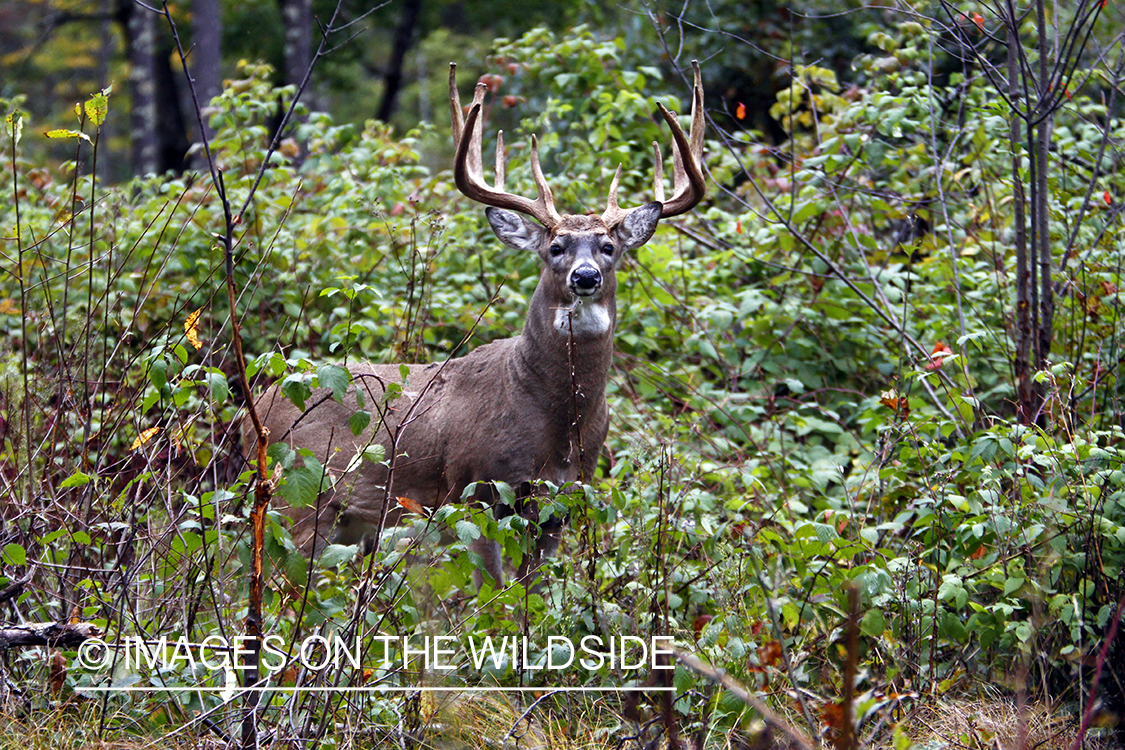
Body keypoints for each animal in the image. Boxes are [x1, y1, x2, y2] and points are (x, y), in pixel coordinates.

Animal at [248, 61, 702, 589]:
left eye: (609, 247)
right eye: (555, 247)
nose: (585, 276)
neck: (555, 420)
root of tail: (257, 408)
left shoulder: (563, 501)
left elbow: (533, 590)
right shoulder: (473, 490)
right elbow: (493, 592)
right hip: (298, 500)